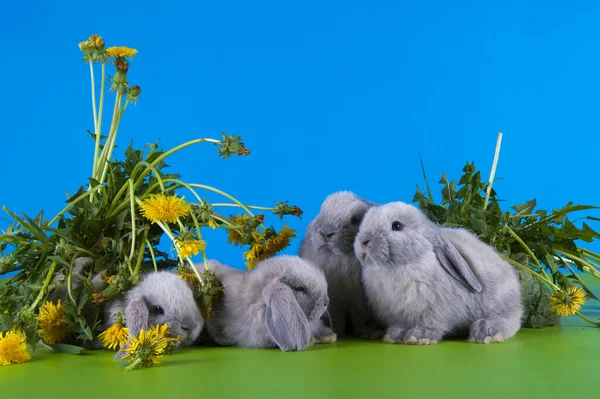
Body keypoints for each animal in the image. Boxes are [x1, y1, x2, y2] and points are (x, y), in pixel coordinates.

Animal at [298, 192, 382, 340]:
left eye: (354, 219)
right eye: (321, 211)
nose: (326, 233)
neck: (342, 257)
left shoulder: (360, 302)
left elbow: (361, 319)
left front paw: (368, 334)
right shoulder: (336, 300)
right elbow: (337, 318)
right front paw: (337, 333)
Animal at [354, 202, 524, 346]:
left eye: (397, 226)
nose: (364, 241)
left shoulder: (435, 310)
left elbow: (432, 324)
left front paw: (419, 337)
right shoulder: (398, 314)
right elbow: (400, 326)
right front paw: (394, 336)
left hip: (500, 303)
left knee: (512, 320)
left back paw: (486, 332)